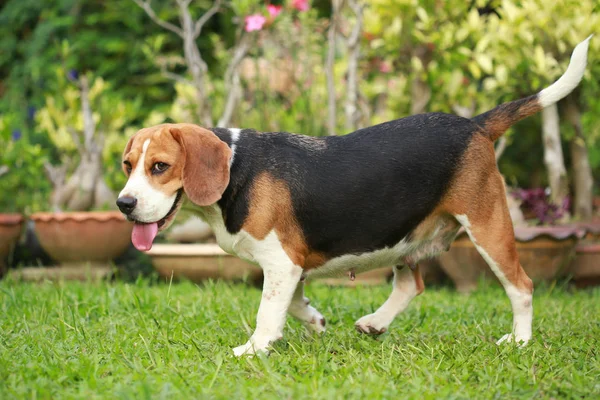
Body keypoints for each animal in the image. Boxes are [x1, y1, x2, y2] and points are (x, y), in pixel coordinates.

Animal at [116, 37, 592, 356]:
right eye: (127, 165)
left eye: (159, 167)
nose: (124, 204)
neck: (235, 170)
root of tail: (473, 124)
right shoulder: (292, 266)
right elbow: (291, 304)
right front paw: (313, 321)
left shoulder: (281, 263)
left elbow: (268, 310)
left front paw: (254, 348)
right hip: (403, 231)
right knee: (412, 283)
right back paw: (376, 323)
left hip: (487, 225)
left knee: (522, 286)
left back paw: (520, 340)